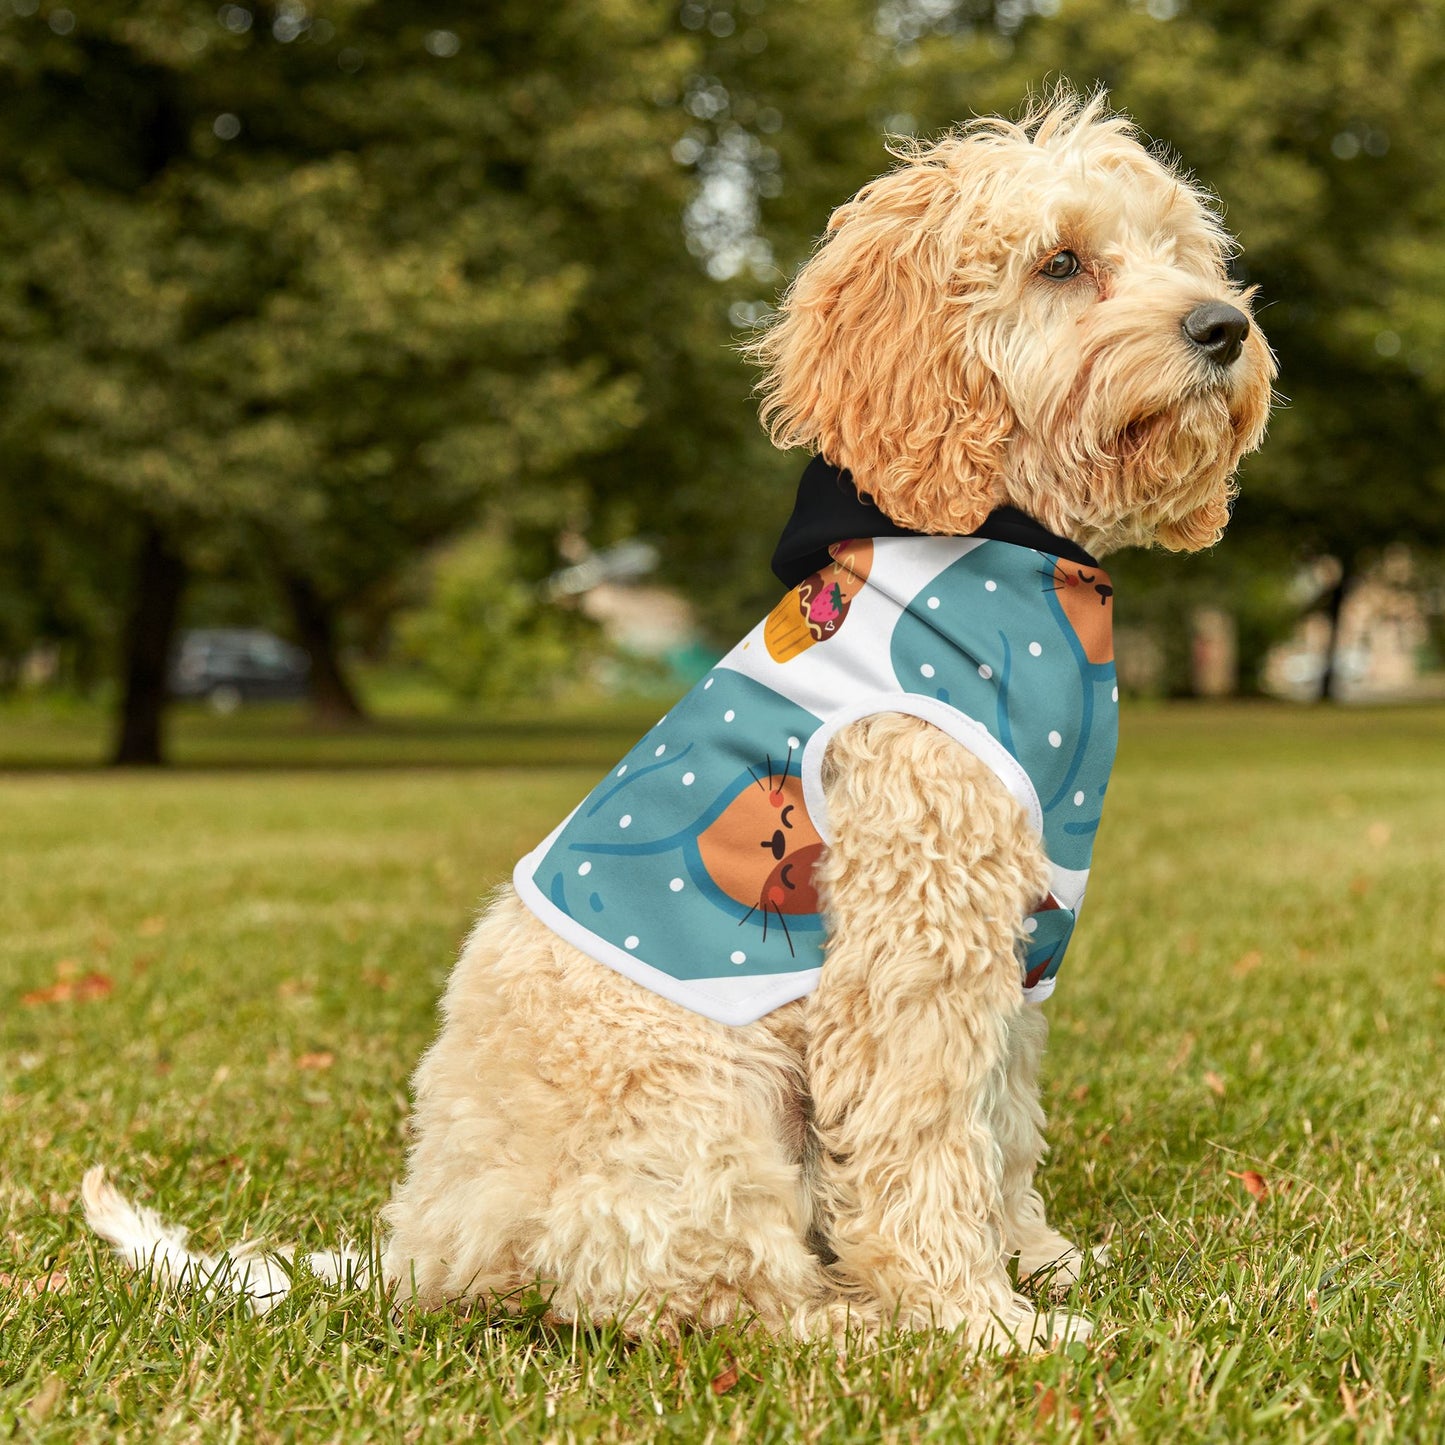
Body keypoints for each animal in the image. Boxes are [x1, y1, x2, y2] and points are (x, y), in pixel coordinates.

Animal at [84, 87, 1271, 1352]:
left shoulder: (1015, 932)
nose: (1221, 328)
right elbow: (924, 1137)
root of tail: (424, 1250)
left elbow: (999, 1122)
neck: (1013, 546)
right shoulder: (912, 934)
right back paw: (853, 1322)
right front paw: (975, 1318)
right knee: (701, 1291)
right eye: (1060, 262)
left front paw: (1036, 1260)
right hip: (701, 1101)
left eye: (1181, 253)